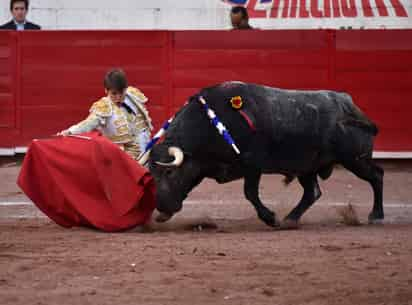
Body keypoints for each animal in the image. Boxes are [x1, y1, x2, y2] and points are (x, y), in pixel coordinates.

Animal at [147, 82, 384, 227]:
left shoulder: (253, 164)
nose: (160, 205)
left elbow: (250, 193)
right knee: (312, 192)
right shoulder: (201, 165)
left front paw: (270, 218)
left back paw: (376, 216)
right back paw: (290, 220)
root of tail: (349, 103)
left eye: (169, 173)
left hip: (355, 159)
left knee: (376, 175)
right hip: (306, 167)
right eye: (152, 174)